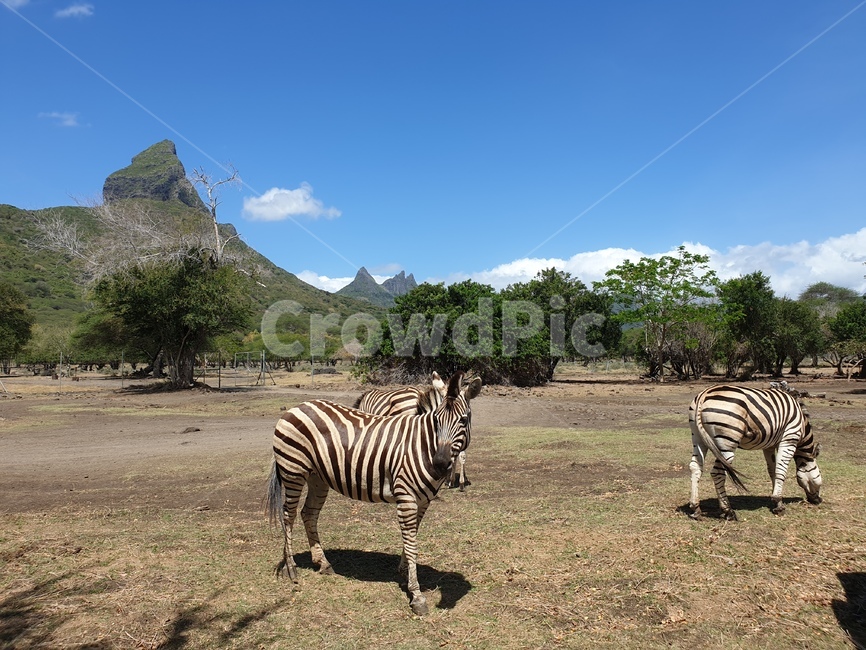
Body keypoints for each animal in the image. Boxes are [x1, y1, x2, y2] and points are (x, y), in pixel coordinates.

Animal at [266, 370, 482, 615]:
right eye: (436, 420)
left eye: (463, 420)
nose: (440, 464)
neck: (422, 445)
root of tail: (297, 407)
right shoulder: (406, 497)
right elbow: (412, 545)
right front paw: (416, 596)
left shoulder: (423, 500)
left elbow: (412, 538)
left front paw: (404, 571)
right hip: (293, 470)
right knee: (288, 516)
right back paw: (291, 568)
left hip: (317, 477)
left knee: (308, 514)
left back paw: (323, 563)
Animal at [688, 385, 823, 521]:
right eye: (820, 480)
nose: (818, 500)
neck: (803, 427)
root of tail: (704, 394)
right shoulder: (789, 439)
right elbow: (781, 470)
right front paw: (779, 504)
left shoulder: (769, 446)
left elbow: (772, 471)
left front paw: (776, 501)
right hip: (727, 442)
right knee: (717, 473)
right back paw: (728, 511)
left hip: (698, 437)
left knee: (695, 467)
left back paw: (695, 508)